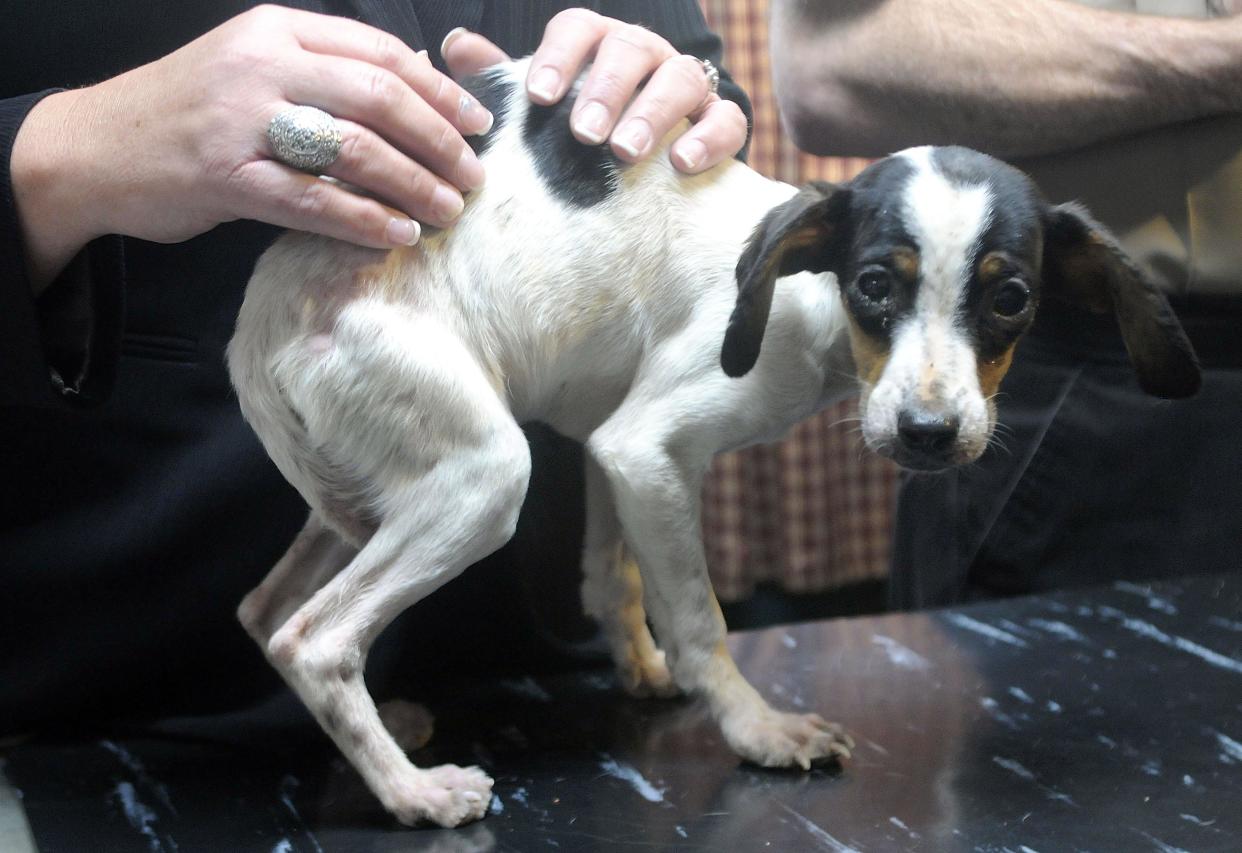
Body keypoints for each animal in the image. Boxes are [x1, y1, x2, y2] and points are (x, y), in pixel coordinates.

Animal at [228, 54, 1197, 829]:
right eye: (874, 284)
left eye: (1011, 299)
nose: (928, 434)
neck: (806, 299)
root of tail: (256, 334)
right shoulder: (646, 447)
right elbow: (701, 618)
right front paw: (756, 728)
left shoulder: (610, 447)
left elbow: (612, 576)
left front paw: (639, 665)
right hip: (481, 478)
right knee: (315, 639)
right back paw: (413, 793)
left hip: (372, 495)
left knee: (266, 612)